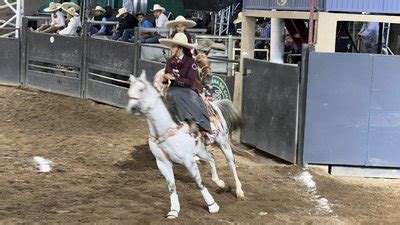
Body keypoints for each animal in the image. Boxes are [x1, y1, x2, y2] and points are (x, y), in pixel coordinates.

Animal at [126, 71, 244, 219]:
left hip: (223, 143)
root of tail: (215, 104)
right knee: (211, 157)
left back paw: (239, 191)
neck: (165, 128)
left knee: (231, 164)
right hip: (201, 150)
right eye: (129, 90)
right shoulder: (163, 163)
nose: (132, 108)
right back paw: (220, 183)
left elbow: (199, 183)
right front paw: (174, 210)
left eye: (141, 89)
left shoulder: (188, 161)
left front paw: (212, 206)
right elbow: (171, 186)